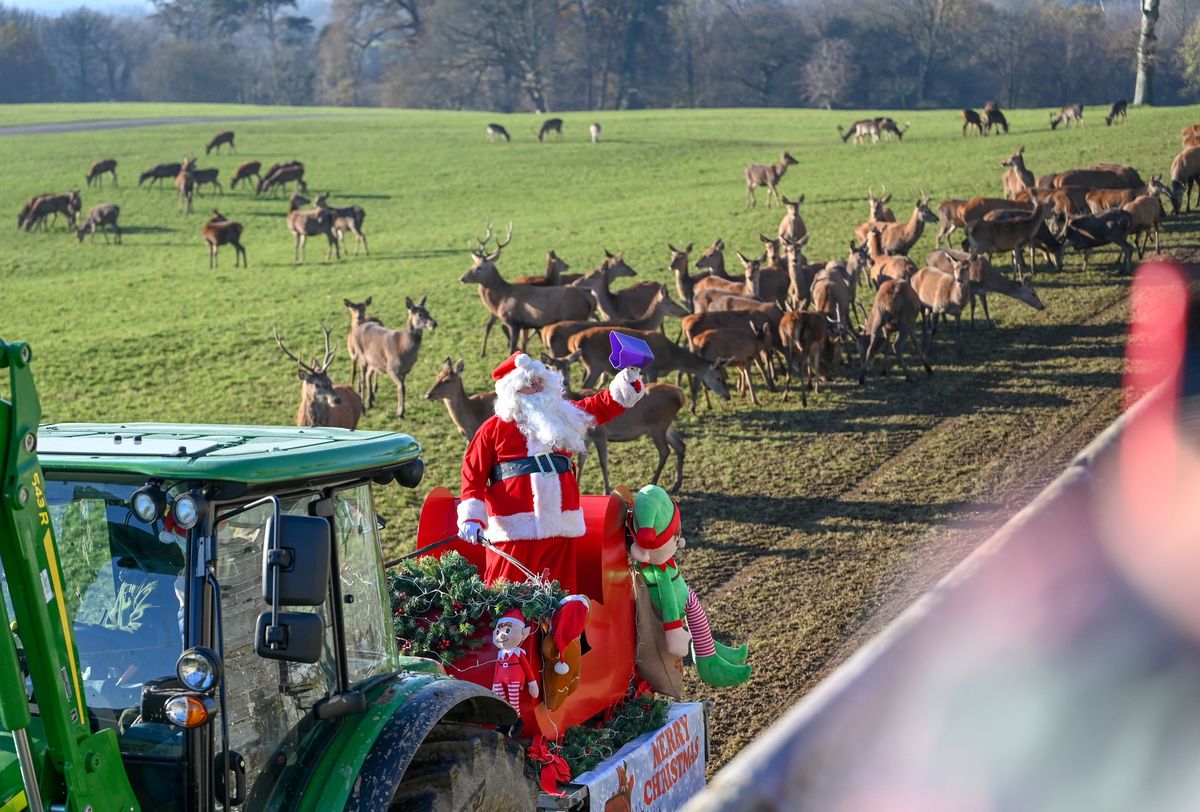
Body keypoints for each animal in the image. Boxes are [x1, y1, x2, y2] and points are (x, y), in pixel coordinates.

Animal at [458, 220, 595, 352]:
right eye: (472, 265)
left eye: (479, 267)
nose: (461, 278)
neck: (502, 298)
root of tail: (587, 300)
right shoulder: (524, 325)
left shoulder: (514, 322)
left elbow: (512, 349)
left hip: (574, 315)